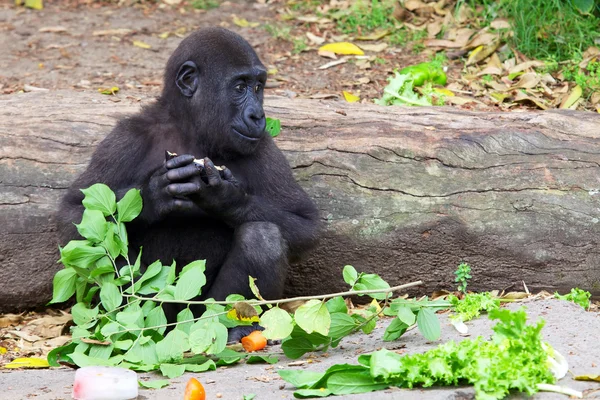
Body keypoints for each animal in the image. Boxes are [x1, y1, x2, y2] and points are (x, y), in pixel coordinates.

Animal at [58, 27, 322, 340]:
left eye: (259, 87)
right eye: (239, 87)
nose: (257, 115)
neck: (191, 129)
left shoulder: (263, 145)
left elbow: (305, 224)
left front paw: (226, 198)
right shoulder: (127, 136)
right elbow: (77, 215)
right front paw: (153, 196)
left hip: (202, 315)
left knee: (262, 238)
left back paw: (233, 325)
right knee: (111, 253)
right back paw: (140, 326)